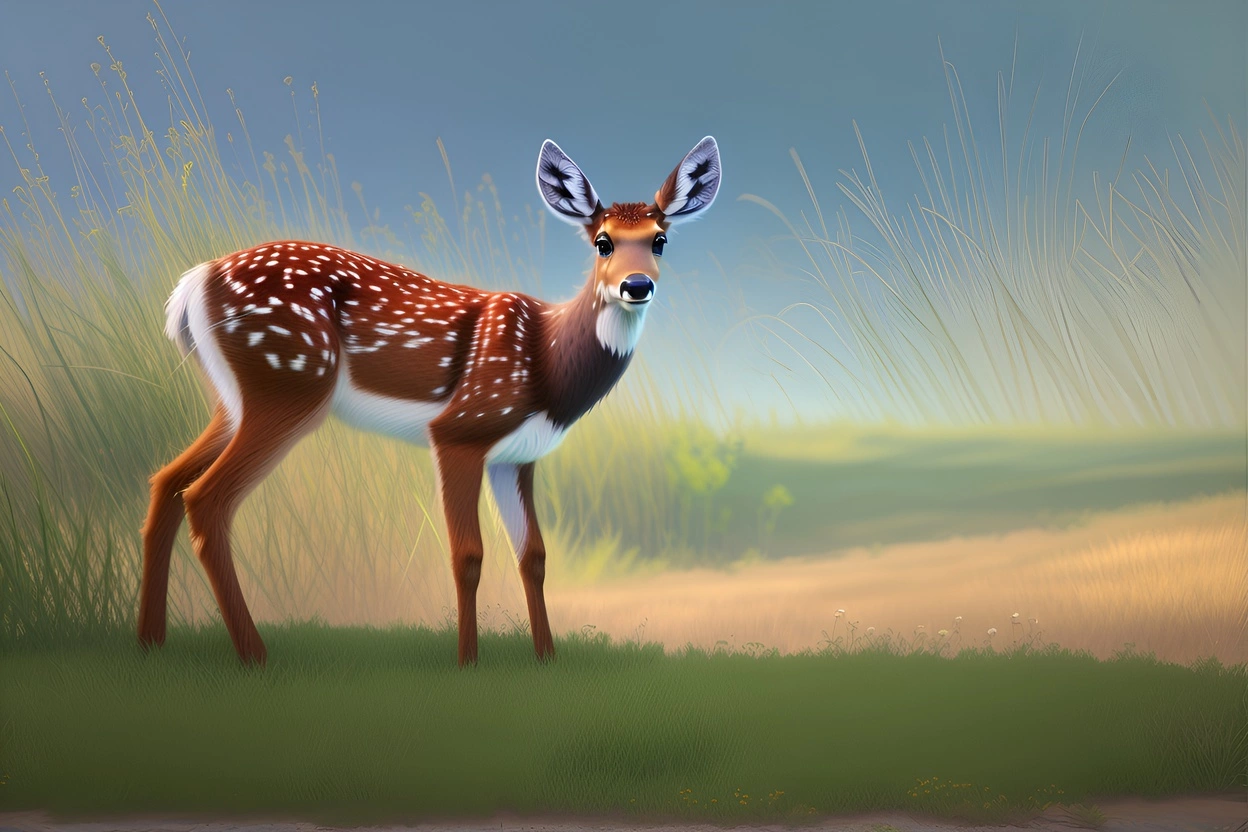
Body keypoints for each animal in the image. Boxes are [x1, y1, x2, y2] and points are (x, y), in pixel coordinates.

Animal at [139, 137, 721, 667]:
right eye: (602, 241)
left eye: (660, 240)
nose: (637, 285)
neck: (548, 364)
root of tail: (193, 284)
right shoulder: (460, 430)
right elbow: (468, 554)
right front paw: (467, 662)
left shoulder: (519, 456)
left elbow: (533, 555)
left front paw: (546, 659)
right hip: (286, 385)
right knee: (206, 498)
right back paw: (255, 655)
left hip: (233, 399)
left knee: (166, 480)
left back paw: (151, 641)